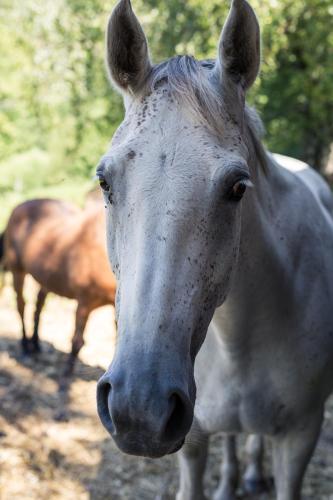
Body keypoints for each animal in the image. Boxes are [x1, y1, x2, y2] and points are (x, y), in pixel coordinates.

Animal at [0, 197, 116, 374]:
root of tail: (19, 206)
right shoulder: (84, 302)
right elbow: (77, 341)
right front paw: (66, 375)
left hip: (46, 277)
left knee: (38, 306)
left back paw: (35, 344)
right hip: (17, 271)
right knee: (21, 306)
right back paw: (26, 348)